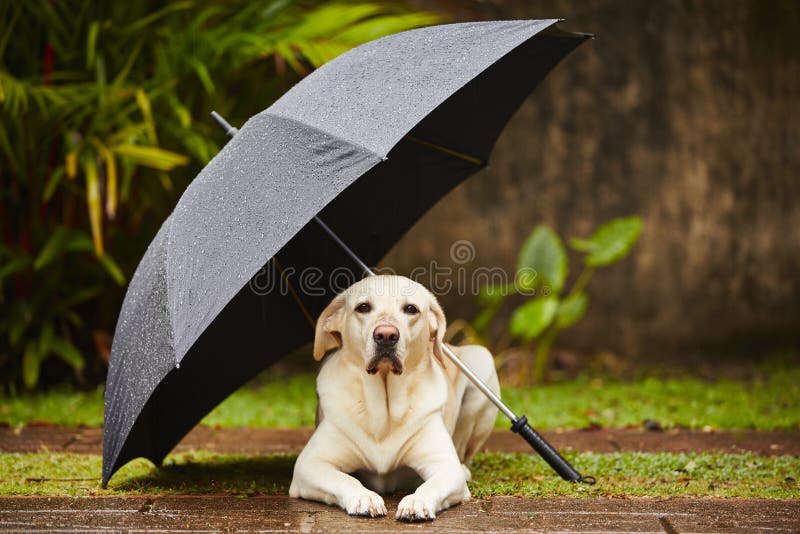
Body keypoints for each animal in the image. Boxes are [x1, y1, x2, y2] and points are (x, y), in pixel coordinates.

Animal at [290, 276, 496, 524]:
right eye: (363, 307)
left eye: (411, 309)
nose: (386, 335)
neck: (385, 407)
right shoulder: (309, 464)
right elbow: (346, 479)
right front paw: (364, 498)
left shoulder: (446, 467)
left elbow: (432, 484)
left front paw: (417, 502)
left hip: (483, 362)